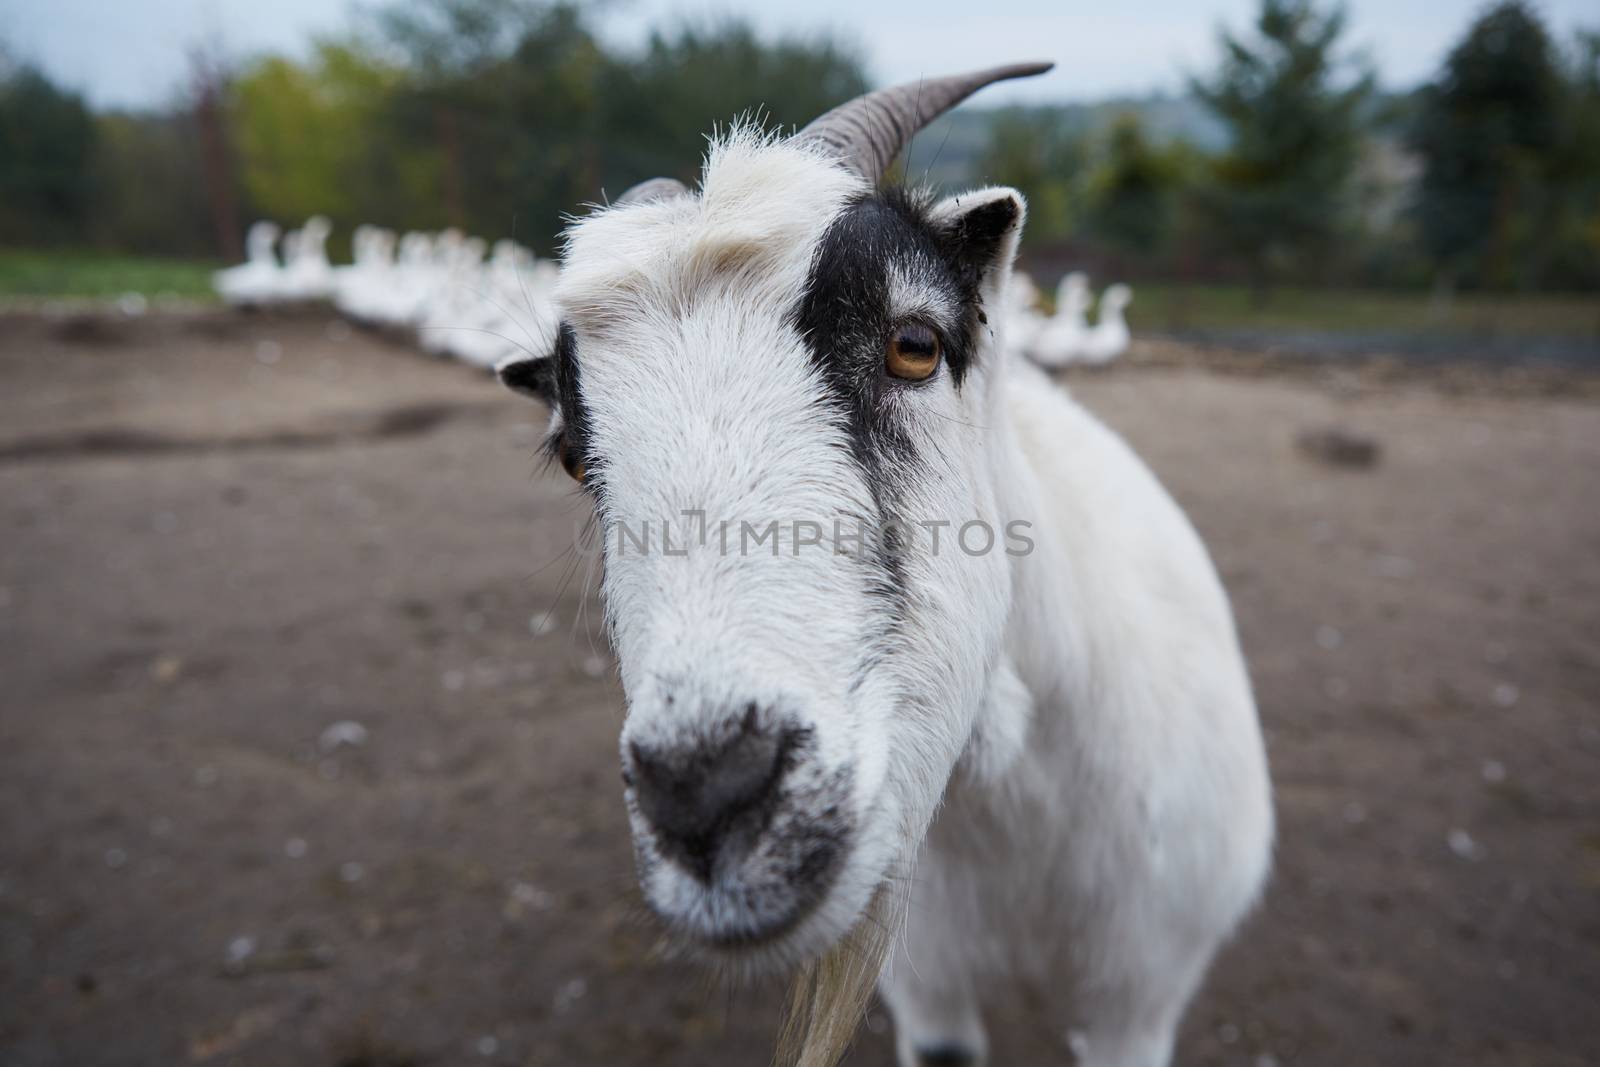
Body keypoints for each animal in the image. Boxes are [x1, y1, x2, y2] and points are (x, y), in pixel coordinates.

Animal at [492, 62, 1267, 1067]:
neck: (1011, 809)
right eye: (572, 456)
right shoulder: (928, 983)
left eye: (916, 344)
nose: (707, 801)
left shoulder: (1139, 992)